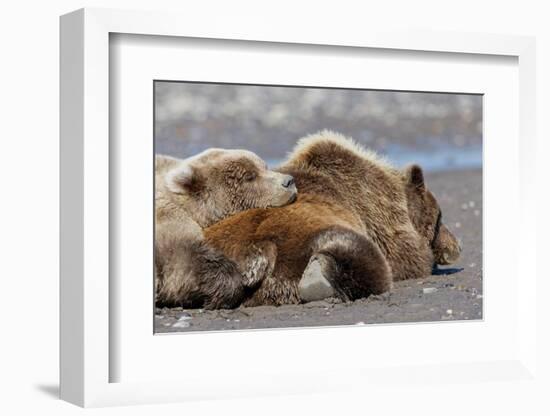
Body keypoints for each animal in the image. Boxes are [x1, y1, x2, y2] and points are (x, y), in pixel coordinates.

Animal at [205, 130, 464, 306]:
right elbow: (411, 258)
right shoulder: (380, 217)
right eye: (440, 217)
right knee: (363, 258)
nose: (457, 246)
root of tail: (256, 253)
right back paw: (318, 277)